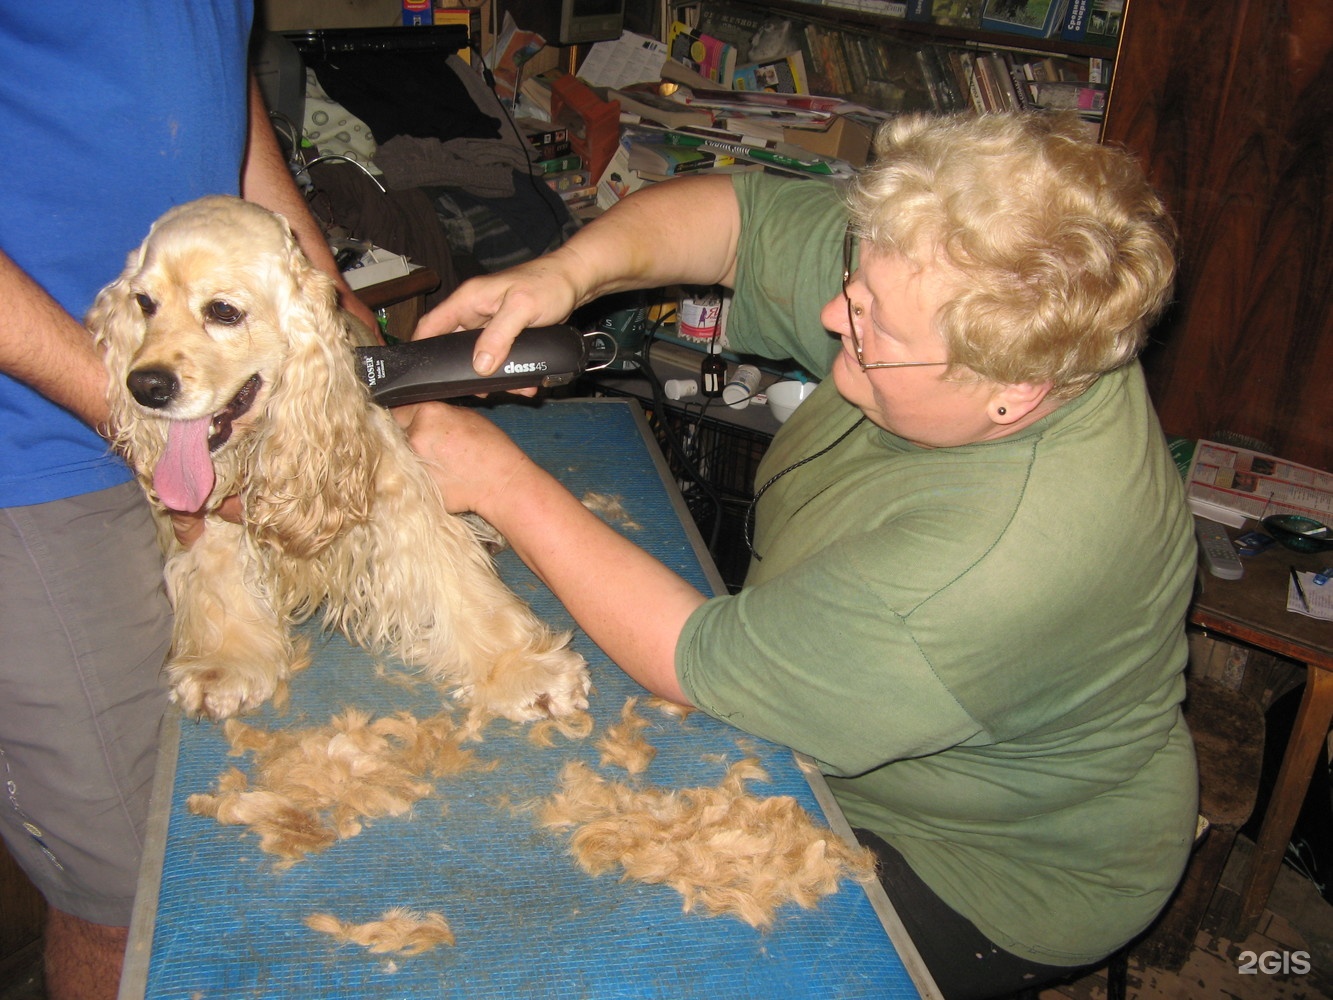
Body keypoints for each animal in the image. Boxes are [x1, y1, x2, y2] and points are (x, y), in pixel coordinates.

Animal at [91, 197, 591, 730]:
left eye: (223, 311)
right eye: (144, 303)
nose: (145, 386)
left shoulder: (400, 498)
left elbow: (454, 577)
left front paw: (522, 671)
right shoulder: (211, 515)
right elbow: (218, 571)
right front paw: (225, 662)